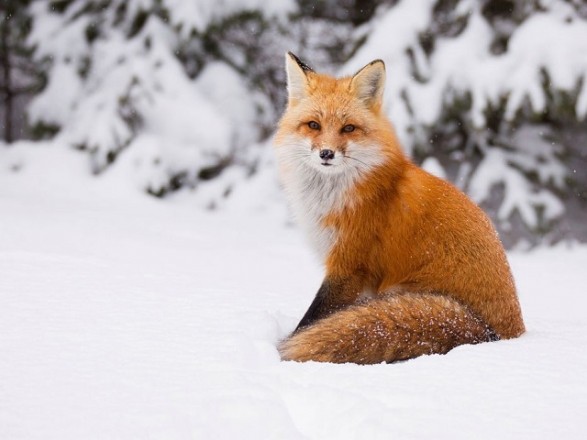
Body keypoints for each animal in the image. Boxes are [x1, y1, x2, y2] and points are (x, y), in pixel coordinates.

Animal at [274, 52, 524, 364]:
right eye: (313, 125)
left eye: (348, 128)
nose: (327, 153)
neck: (333, 195)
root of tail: (499, 334)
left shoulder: (350, 264)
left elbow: (313, 317)